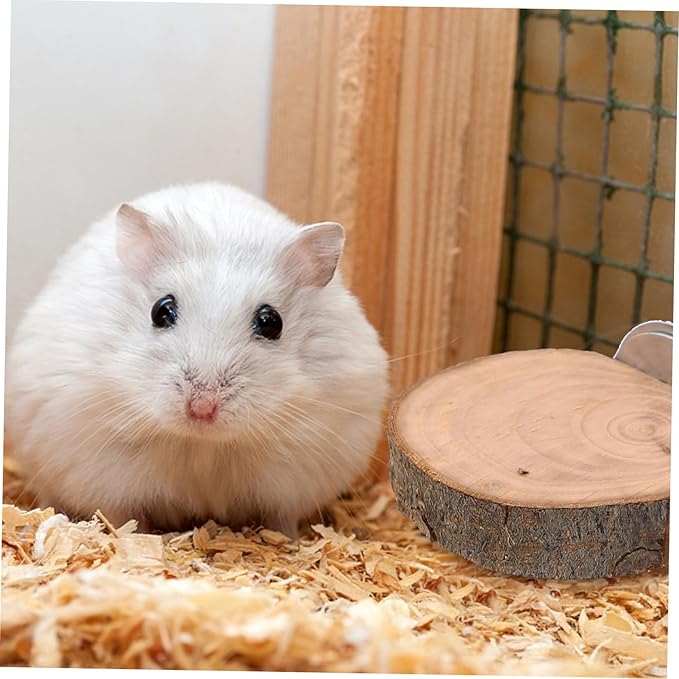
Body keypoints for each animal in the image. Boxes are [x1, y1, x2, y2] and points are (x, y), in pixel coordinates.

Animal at [5, 182, 389, 537]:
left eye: (271, 322)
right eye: (161, 310)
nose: (202, 409)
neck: (202, 443)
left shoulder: (299, 472)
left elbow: (280, 520)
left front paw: (289, 542)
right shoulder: (102, 467)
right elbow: (124, 516)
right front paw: (133, 538)